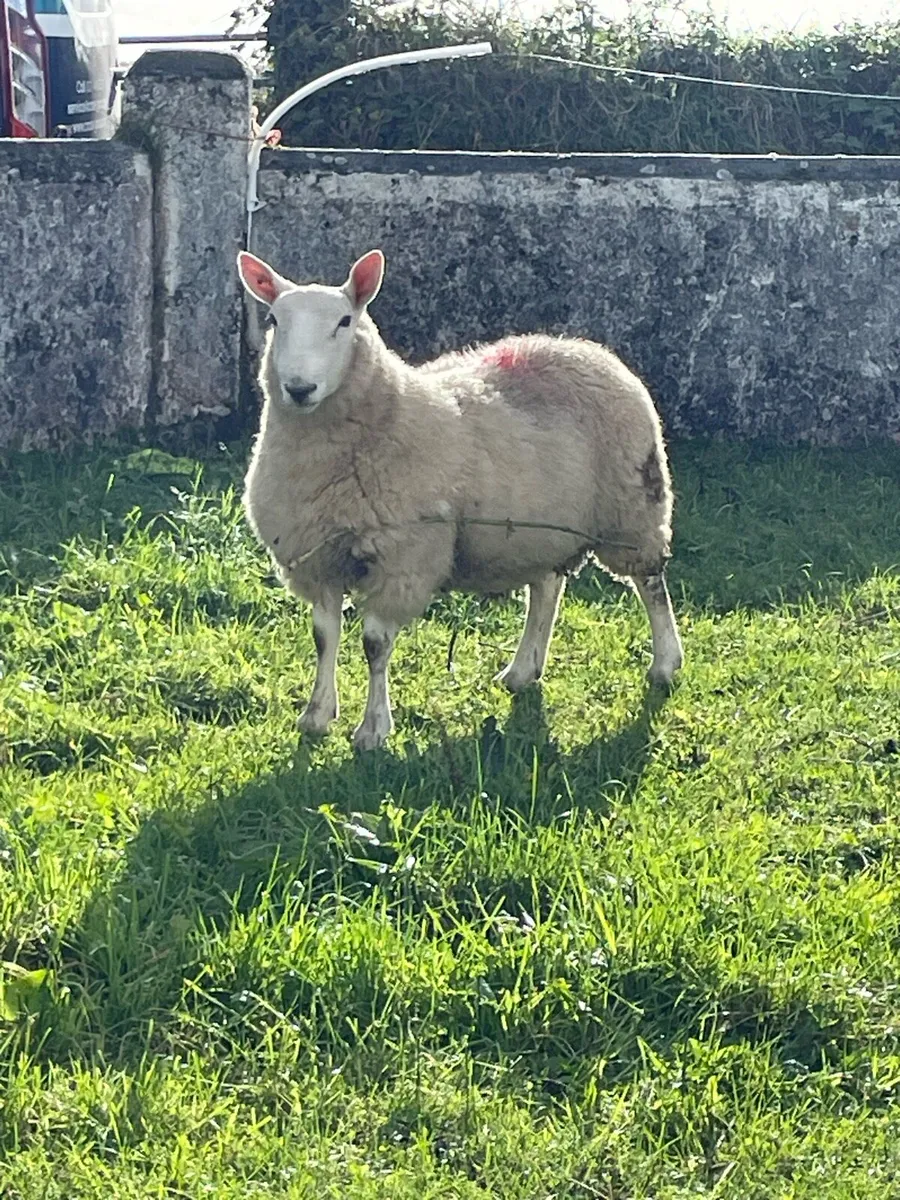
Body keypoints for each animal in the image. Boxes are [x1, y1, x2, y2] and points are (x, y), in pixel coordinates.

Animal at [237, 247, 683, 751]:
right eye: (274, 319)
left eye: (345, 321)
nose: (299, 388)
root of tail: (585, 347)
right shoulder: (317, 558)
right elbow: (322, 637)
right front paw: (316, 715)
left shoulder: (402, 560)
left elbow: (374, 645)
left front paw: (372, 729)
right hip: (540, 528)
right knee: (547, 589)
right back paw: (523, 670)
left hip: (633, 507)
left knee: (650, 583)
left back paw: (665, 663)